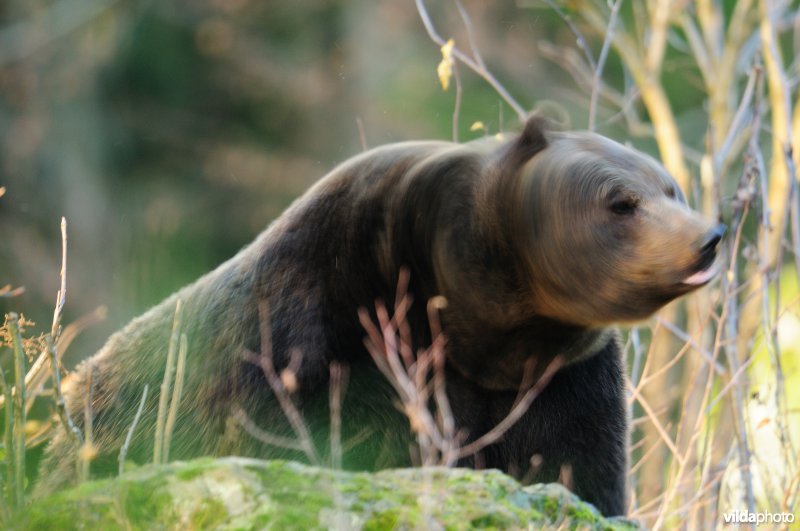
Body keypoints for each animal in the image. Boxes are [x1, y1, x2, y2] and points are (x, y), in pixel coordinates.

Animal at [34, 115, 724, 516]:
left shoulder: (561, 378)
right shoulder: (319, 335)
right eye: (621, 201)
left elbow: (580, 469)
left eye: (670, 187)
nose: (708, 238)